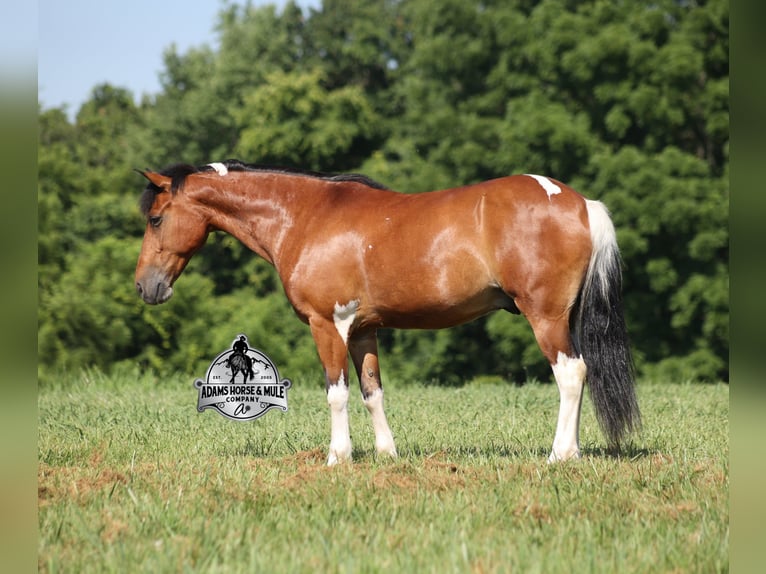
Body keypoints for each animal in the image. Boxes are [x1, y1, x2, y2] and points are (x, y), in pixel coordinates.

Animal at [135, 159, 640, 465]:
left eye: (156, 219)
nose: (145, 286)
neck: (304, 216)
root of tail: (579, 203)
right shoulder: (363, 330)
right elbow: (371, 392)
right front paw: (386, 454)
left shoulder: (328, 325)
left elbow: (336, 392)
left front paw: (338, 456)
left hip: (545, 317)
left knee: (571, 373)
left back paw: (560, 454)